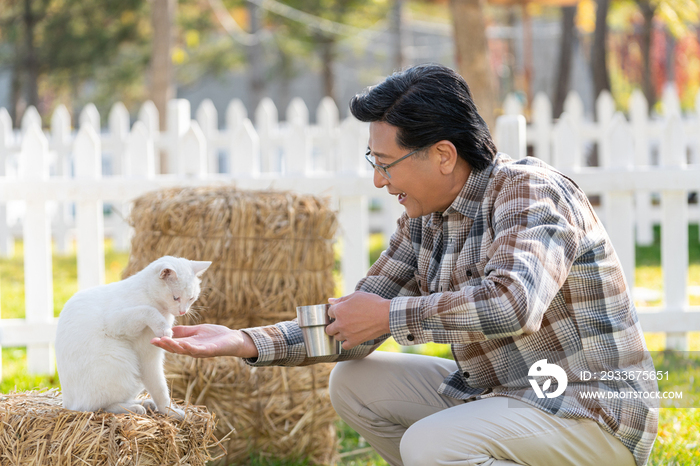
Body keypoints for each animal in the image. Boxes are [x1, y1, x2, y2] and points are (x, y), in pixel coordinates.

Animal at [56, 255, 211, 418]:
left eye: (191, 298)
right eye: (176, 298)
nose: (182, 311)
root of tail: (67, 404)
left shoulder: (149, 357)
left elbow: (160, 389)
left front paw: (169, 411)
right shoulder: (115, 322)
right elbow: (147, 310)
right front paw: (163, 327)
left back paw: (144, 403)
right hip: (118, 362)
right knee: (98, 406)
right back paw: (134, 408)